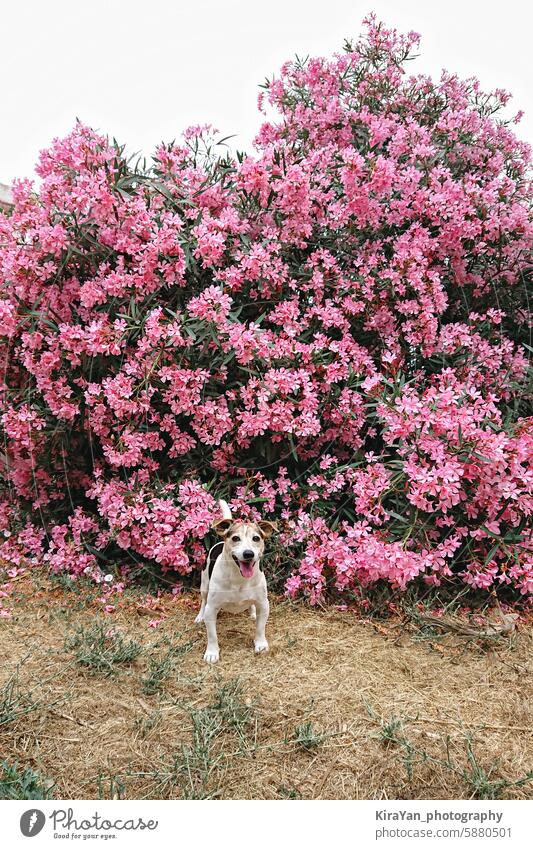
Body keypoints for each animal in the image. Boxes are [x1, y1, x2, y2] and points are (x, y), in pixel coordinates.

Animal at [196, 496, 278, 664]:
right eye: (235, 538)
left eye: (256, 538)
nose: (248, 554)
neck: (239, 578)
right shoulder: (211, 608)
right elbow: (212, 635)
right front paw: (212, 652)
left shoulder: (263, 603)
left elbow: (260, 628)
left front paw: (260, 644)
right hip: (204, 585)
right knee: (203, 600)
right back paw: (199, 616)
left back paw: (252, 612)